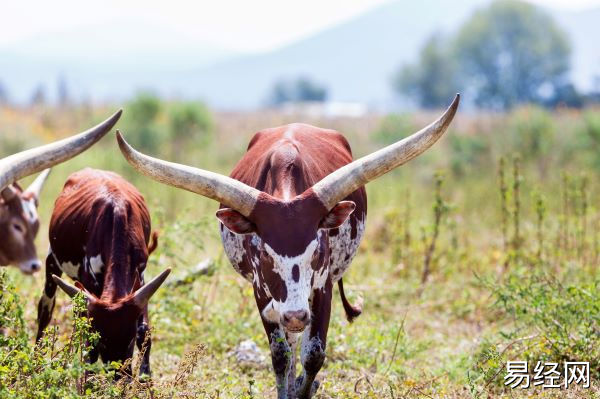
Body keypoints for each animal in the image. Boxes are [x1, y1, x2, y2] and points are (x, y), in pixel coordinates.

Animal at [36, 169, 170, 378]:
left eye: (130, 339)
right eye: (102, 341)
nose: (120, 376)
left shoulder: (140, 279)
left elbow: (144, 329)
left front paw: (145, 378)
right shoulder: (88, 283)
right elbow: (88, 341)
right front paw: (88, 379)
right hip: (52, 262)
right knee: (45, 309)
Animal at [118, 95, 464, 398]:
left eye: (316, 251)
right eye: (265, 253)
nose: (296, 315)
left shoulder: (322, 286)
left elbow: (314, 353)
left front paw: (304, 388)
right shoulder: (261, 290)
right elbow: (280, 354)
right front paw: (289, 388)